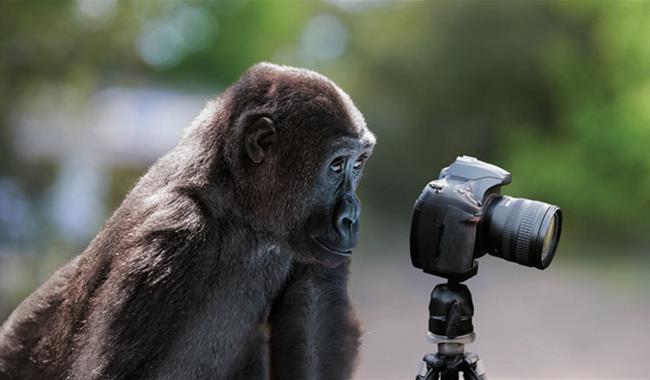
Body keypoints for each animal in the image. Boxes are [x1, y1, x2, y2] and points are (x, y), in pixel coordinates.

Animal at [0, 63, 374, 380]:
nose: (351, 216)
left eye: (358, 165)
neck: (235, 202)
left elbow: (315, 315)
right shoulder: (172, 241)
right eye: (336, 166)